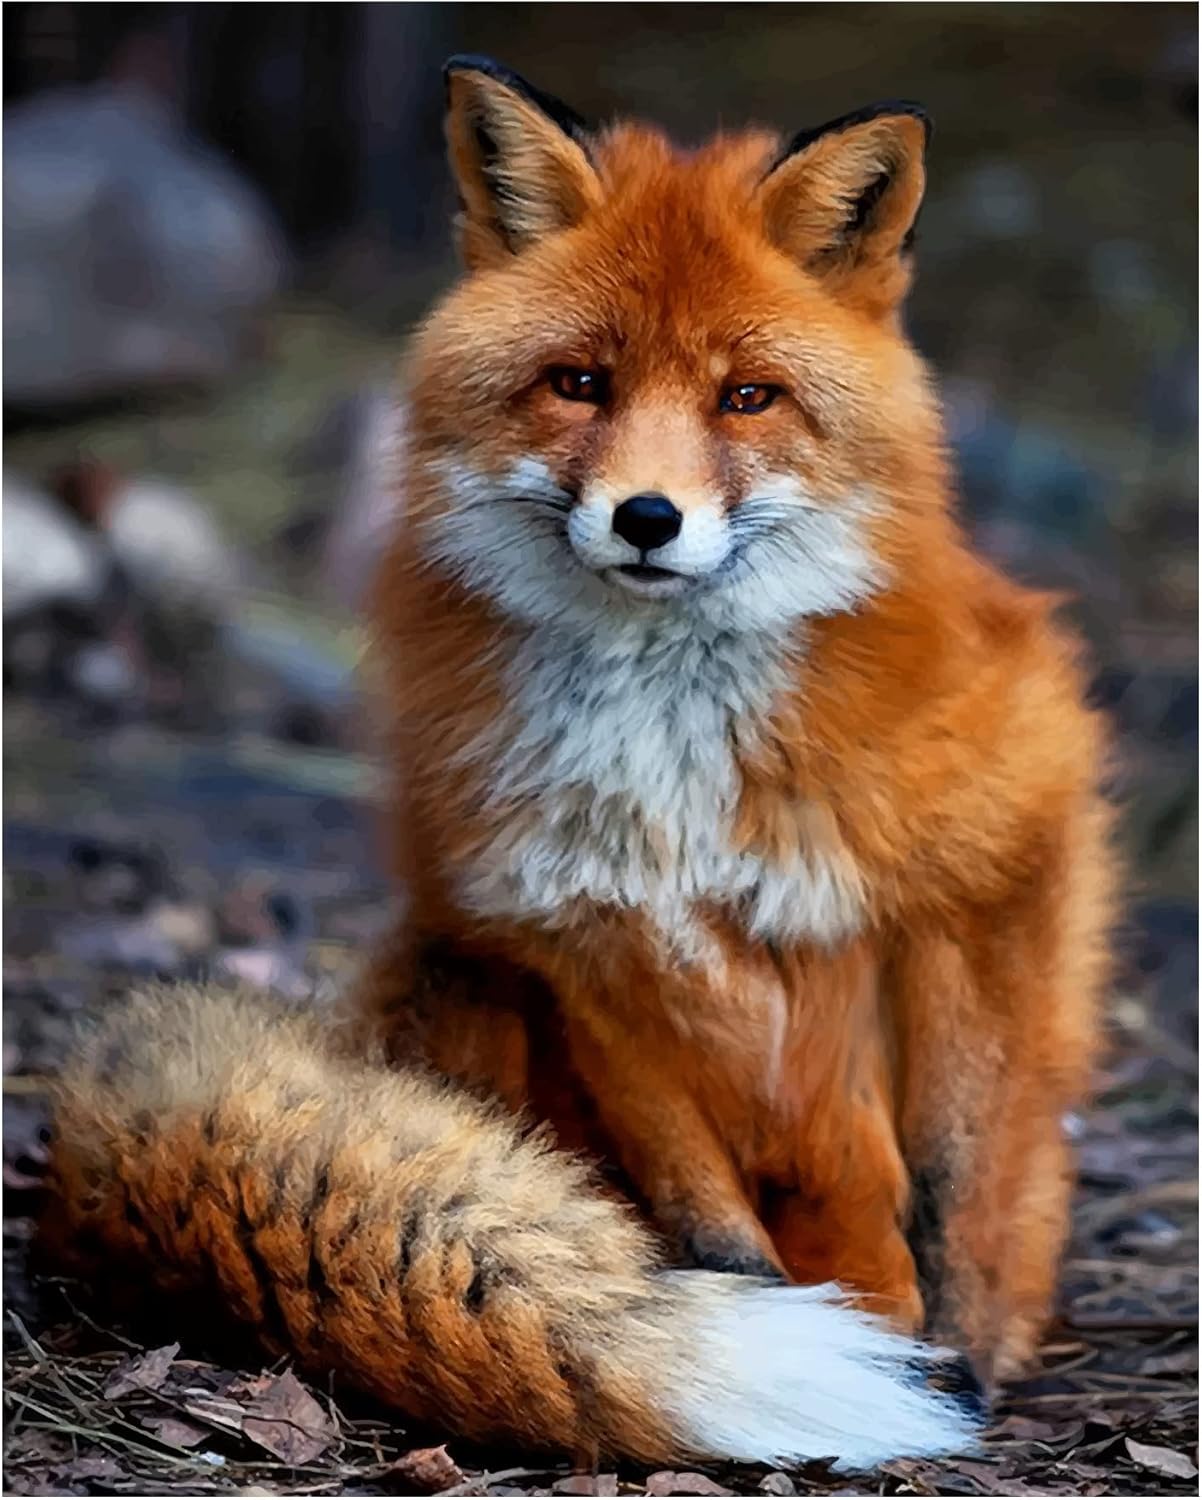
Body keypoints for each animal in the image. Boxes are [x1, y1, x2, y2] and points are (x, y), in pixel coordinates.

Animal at [42, 56, 1116, 1473]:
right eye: (580, 384)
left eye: (744, 397)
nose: (647, 519)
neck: (669, 762)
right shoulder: (574, 946)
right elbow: (709, 1226)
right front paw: (798, 1353)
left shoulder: (983, 861)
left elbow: (954, 1176)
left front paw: (956, 1357)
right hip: (454, 975)